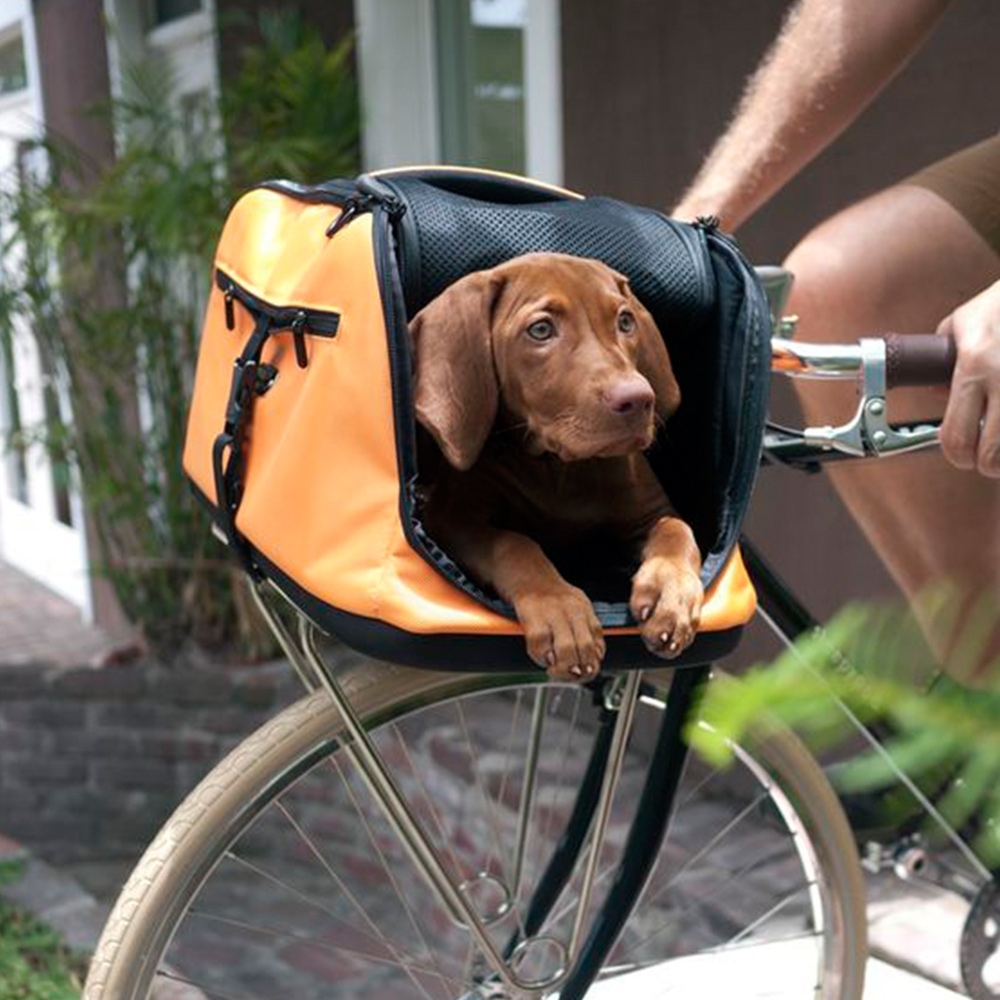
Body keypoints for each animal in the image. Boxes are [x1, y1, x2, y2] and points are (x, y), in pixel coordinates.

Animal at [406, 254, 704, 684]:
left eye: (625, 321)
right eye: (541, 330)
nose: (638, 399)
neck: (558, 467)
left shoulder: (650, 511)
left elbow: (677, 530)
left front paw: (672, 592)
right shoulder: (453, 518)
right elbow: (515, 544)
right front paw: (560, 609)